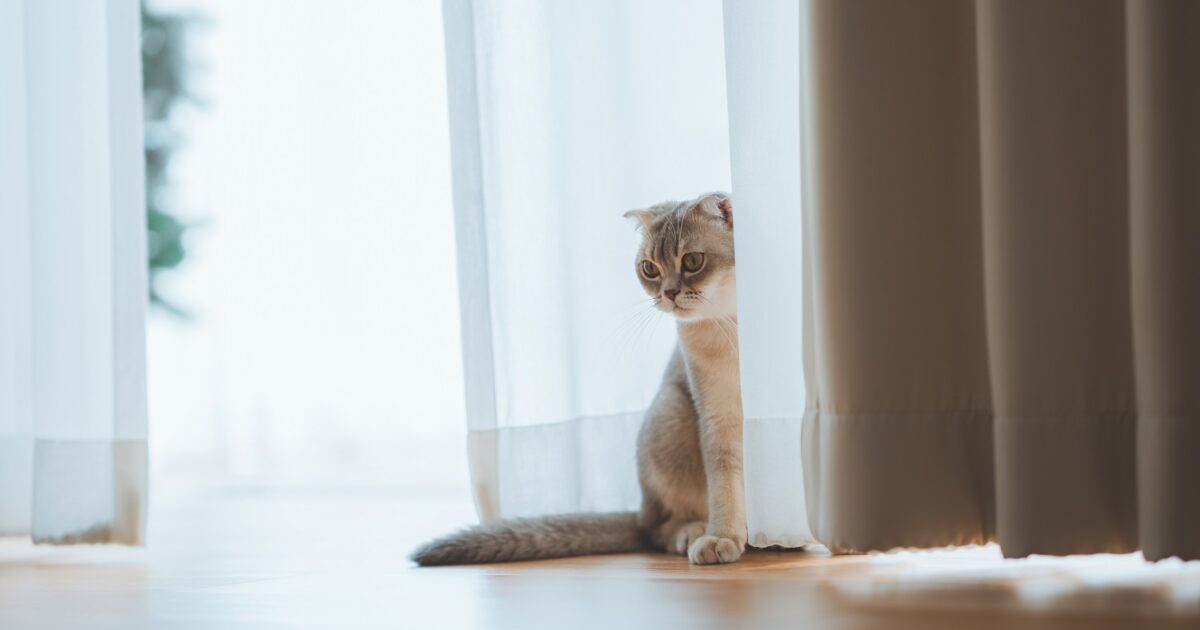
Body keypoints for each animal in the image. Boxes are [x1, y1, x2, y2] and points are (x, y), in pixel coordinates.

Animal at [412, 192, 745, 566]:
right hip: (671, 413)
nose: (668, 293)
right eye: (650, 269)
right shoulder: (718, 414)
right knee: (655, 529)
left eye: (692, 261)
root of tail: (639, 510)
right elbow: (725, 481)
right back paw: (692, 531)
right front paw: (722, 535)